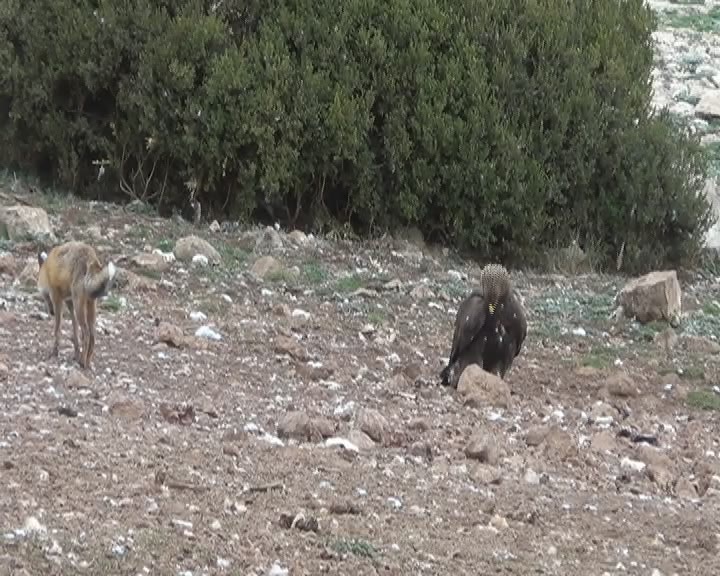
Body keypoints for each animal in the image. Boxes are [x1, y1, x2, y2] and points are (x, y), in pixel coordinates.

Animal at [37, 240, 116, 368]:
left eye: (45, 297)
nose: (51, 312)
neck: (47, 269)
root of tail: (91, 256)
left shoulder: (57, 299)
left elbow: (57, 330)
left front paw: (55, 352)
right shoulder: (70, 304)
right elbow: (75, 332)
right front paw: (76, 353)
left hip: (79, 306)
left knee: (87, 334)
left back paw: (82, 362)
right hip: (89, 305)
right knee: (92, 335)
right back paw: (87, 361)